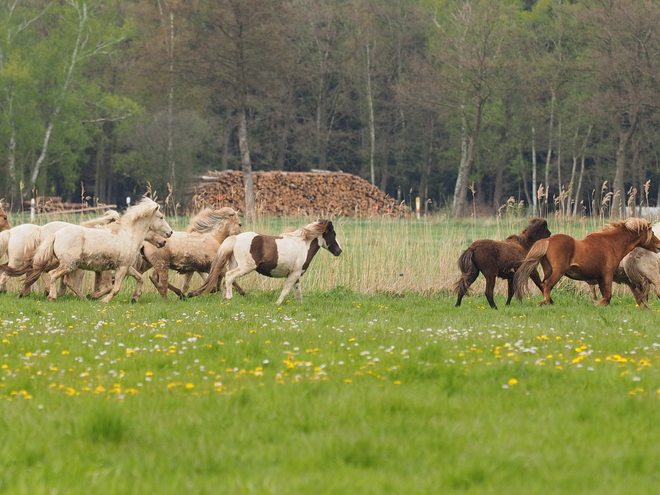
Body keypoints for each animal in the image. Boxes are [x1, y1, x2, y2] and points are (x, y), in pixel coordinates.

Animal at [22, 198, 173, 302]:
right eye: (161, 217)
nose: (169, 234)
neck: (127, 234)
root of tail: (56, 234)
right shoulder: (121, 268)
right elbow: (115, 288)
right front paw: (104, 301)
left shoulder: (126, 267)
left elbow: (140, 278)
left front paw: (135, 298)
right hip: (68, 265)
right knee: (52, 275)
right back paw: (52, 296)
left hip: (70, 266)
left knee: (63, 280)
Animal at [188, 219, 342, 304]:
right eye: (333, 234)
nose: (339, 251)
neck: (303, 245)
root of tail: (235, 238)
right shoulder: (294, 274)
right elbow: (286, 290)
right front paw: (277, 303)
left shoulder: (296, 274)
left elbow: (298, 292)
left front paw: (300, 305)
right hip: (245, 267)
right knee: (230, 276)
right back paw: (229, 297)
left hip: (235, 264)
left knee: (227, 278)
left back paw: (224, 298)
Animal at [512, 218, 660, 306]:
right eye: (652, 233)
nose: (659, 245)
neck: (612, 243)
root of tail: (547, 240)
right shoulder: (607, 275)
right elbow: (607, 295)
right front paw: (597, 303)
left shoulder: (600, 277)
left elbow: (606, 295)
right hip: (558, 271)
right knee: (547, 285)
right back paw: (547, 302)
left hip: (549, 270)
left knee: (543, 285)